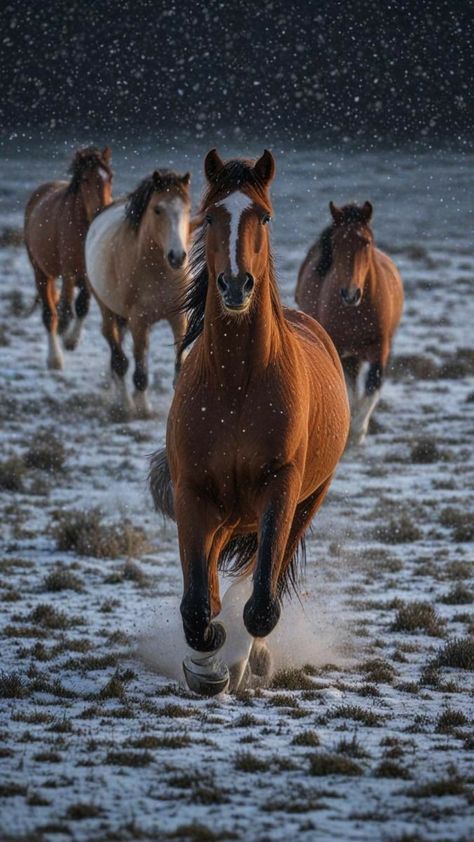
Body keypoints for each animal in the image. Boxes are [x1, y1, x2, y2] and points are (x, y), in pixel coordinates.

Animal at [25, 147, 114, 368]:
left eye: (110, 177)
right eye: (85, 179)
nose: (103, 210)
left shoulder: (88, 274)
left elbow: (82, 305)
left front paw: (72, 341)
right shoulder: (68, 271)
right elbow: (66, 308)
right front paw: (64, 334)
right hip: (41, 271)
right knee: (49, 314)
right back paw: (54, 359)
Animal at [85, 168, 191, 416]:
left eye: (187, 209)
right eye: (158, 209)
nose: (177, 257)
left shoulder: (178, 317)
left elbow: (179, 364)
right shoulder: (138, 320)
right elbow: (139, 372)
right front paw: (142, 407)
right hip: (108, 310)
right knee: (119, 359)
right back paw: (124, 401)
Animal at [150, 151, 350, 696]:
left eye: (263, 216)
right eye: (210, 217)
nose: (236, 285)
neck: (238, 382)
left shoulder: (280, 489)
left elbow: (261, 602)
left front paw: (235, 660)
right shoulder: (194, 491)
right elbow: (198, 605)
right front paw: (205, 663)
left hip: (305, 502)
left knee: (266, 580)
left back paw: (250, 660)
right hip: (225, 511)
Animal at [296, 200, 404, 442]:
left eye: (366, 242)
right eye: (337, 243)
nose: (350, 293)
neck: (356, 312)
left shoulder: (380, 350)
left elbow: (372, 389)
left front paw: (357, 432)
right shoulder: (338, 347)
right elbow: (348, 390)